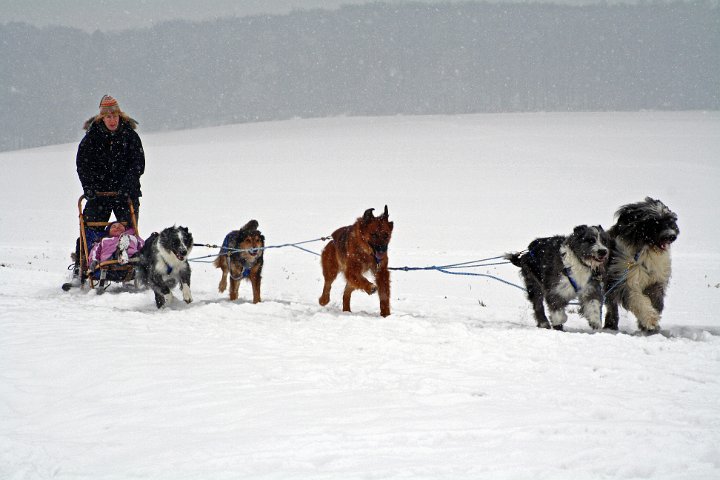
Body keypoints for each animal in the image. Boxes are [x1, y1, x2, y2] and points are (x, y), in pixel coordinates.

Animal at [604, 197, 679, 332]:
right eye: (654, 222)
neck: (647, 251)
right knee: (611, 304)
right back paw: (611, 324)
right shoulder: (626, 280)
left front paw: (649, 325)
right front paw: (650, 319)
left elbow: (655, 299)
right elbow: (638, 300)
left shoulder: (656, 281)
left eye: (670, 220)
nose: (671, 235)